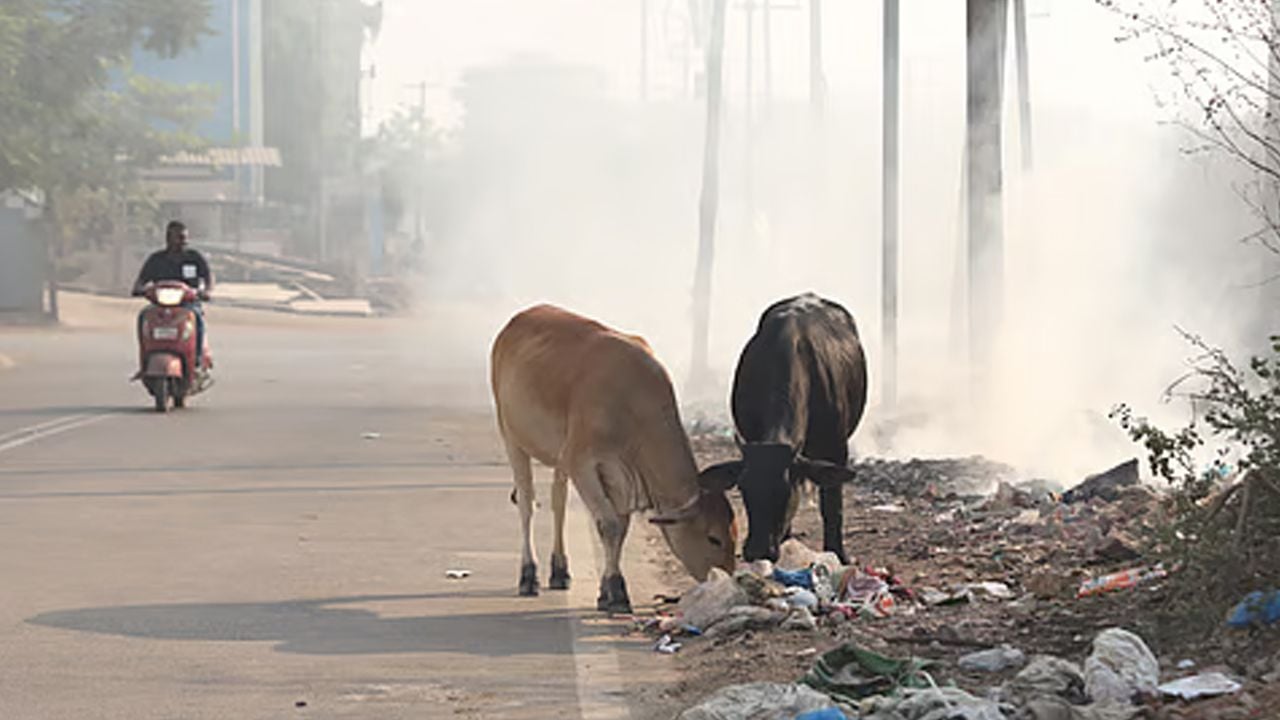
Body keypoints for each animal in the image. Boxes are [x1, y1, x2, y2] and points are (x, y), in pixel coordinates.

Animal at [490, 304, 738, 613]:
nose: (729, 580)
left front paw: (605, 592)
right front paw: (617, 591)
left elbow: (620, 529)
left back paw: (559, 570)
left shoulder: (618, 478)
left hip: (558, 459)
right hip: (511, 436)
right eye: (713, 538)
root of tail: (516, 320)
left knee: (558, 502)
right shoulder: (582, 464)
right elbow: (609, 525)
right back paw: (528, 575)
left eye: (735, 534)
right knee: (526, 504)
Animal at [704, 293, 868, 564]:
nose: (758, 550)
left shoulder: (836, 447)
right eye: (744, 487)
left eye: (784, 490)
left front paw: (837, 553)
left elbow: (832, 506)